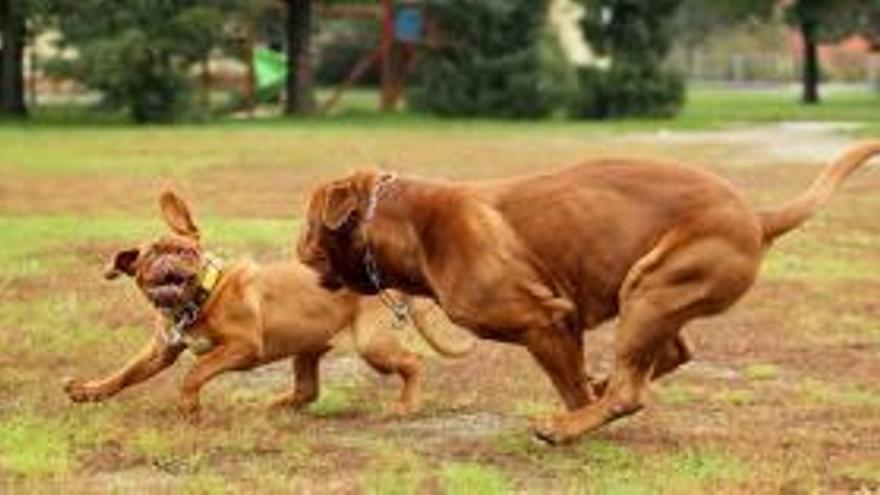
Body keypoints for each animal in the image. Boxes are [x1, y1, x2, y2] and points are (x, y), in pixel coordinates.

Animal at [62, 192, 470, 420]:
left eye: (186, 251)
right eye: (149, 258)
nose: (167, 263)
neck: (201, 296)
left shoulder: (242, 346)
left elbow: (195, 373)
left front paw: (190, 408)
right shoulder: (159, 352)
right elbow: (125, 374)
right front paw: (89, 392)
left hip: (374, 344)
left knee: (413, 362)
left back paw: (406, 406)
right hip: (307, 347)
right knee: (307, 391)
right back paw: (272, 406)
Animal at [298, 141, 880, 444]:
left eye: (307, 222)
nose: (297, 248)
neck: (413, 225)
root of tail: (758, 217)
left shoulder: (547, 320)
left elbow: (571, 388)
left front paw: (572, 420)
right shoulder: (567, 323)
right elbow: (582, 379)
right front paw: (587, 394)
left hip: (649, 289)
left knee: (630, 390)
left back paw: (567, 425)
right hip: (651, 294)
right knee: (670, 354)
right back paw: (602, 386)